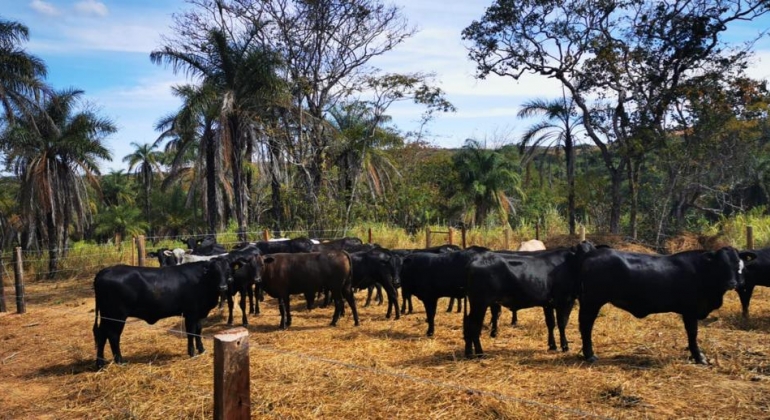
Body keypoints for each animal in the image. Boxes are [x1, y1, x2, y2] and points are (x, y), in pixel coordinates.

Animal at [460, 243, 592, 358]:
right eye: (583, 254)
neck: (569, 263)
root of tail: (474, 260)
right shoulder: (565, 301)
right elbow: (562, 324)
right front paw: (565, 346)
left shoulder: (548, 304)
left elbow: (551, 323)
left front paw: (552, 346)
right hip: (480, 303)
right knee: (474, 325)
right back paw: (480, 353)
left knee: (468, 324)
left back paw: (468, 353)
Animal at [576, 246, 752, 364]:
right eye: (721, 264)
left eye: (738, 264)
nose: (732, 283)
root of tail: (592, 252)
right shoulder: (690, 311)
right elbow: (692, 333)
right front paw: (699, 357)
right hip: (592, 301)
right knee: (586, 325)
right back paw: (590, 355)